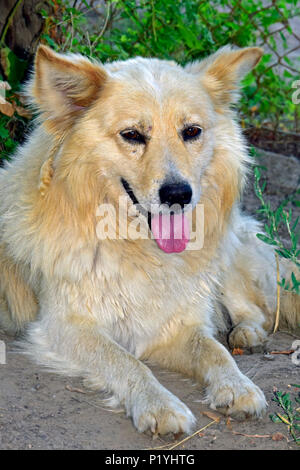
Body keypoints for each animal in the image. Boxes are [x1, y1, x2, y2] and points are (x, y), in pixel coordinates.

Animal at [0, 46, 298, 436]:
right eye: (132, 135)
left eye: (192, 131)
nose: (178, 194)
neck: (135, 247)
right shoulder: (65, 326)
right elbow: (125, 361)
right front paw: (160, 405)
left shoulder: (177, 325)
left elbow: (213, 351)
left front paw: (236, 386)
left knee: (252, 309)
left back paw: (246, 333)